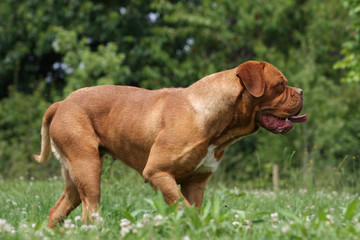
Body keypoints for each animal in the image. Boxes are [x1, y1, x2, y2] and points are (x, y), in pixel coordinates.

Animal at [33, 61, 306, 228]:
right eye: (280, 85)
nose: (302, 91)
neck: (219, 125)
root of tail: (61, 103)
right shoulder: (158, 173)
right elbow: (181, 207)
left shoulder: (196, 182)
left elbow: (192, 211)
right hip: (88, 169)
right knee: (90, 213)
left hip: (76, 176)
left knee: (58, 210)